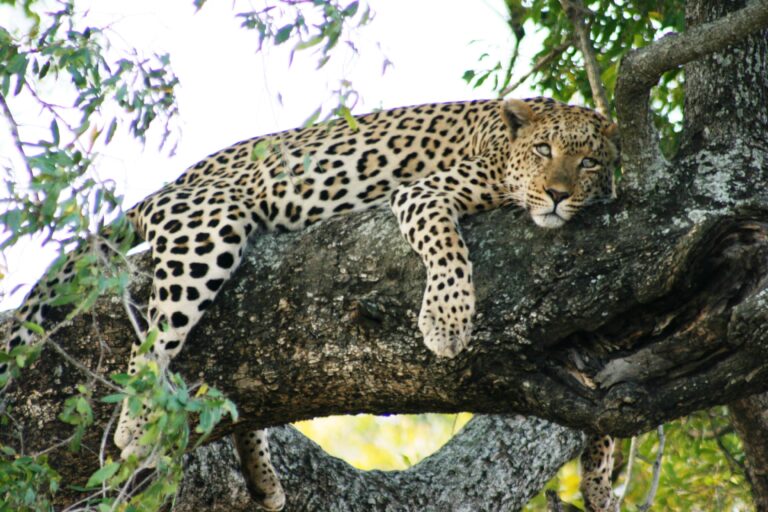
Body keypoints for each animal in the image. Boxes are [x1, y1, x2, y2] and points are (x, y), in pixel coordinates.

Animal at [1, 96, 616, 508]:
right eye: (544, 150)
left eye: (589, 162)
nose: (558, 195)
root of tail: (174, 181)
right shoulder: (422, 193)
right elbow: (447, 247)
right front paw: (446, 321)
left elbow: (599, 396)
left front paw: (601, 481)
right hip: (210, 225)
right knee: (152, 337)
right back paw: (136, 422)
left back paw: (262, 476)